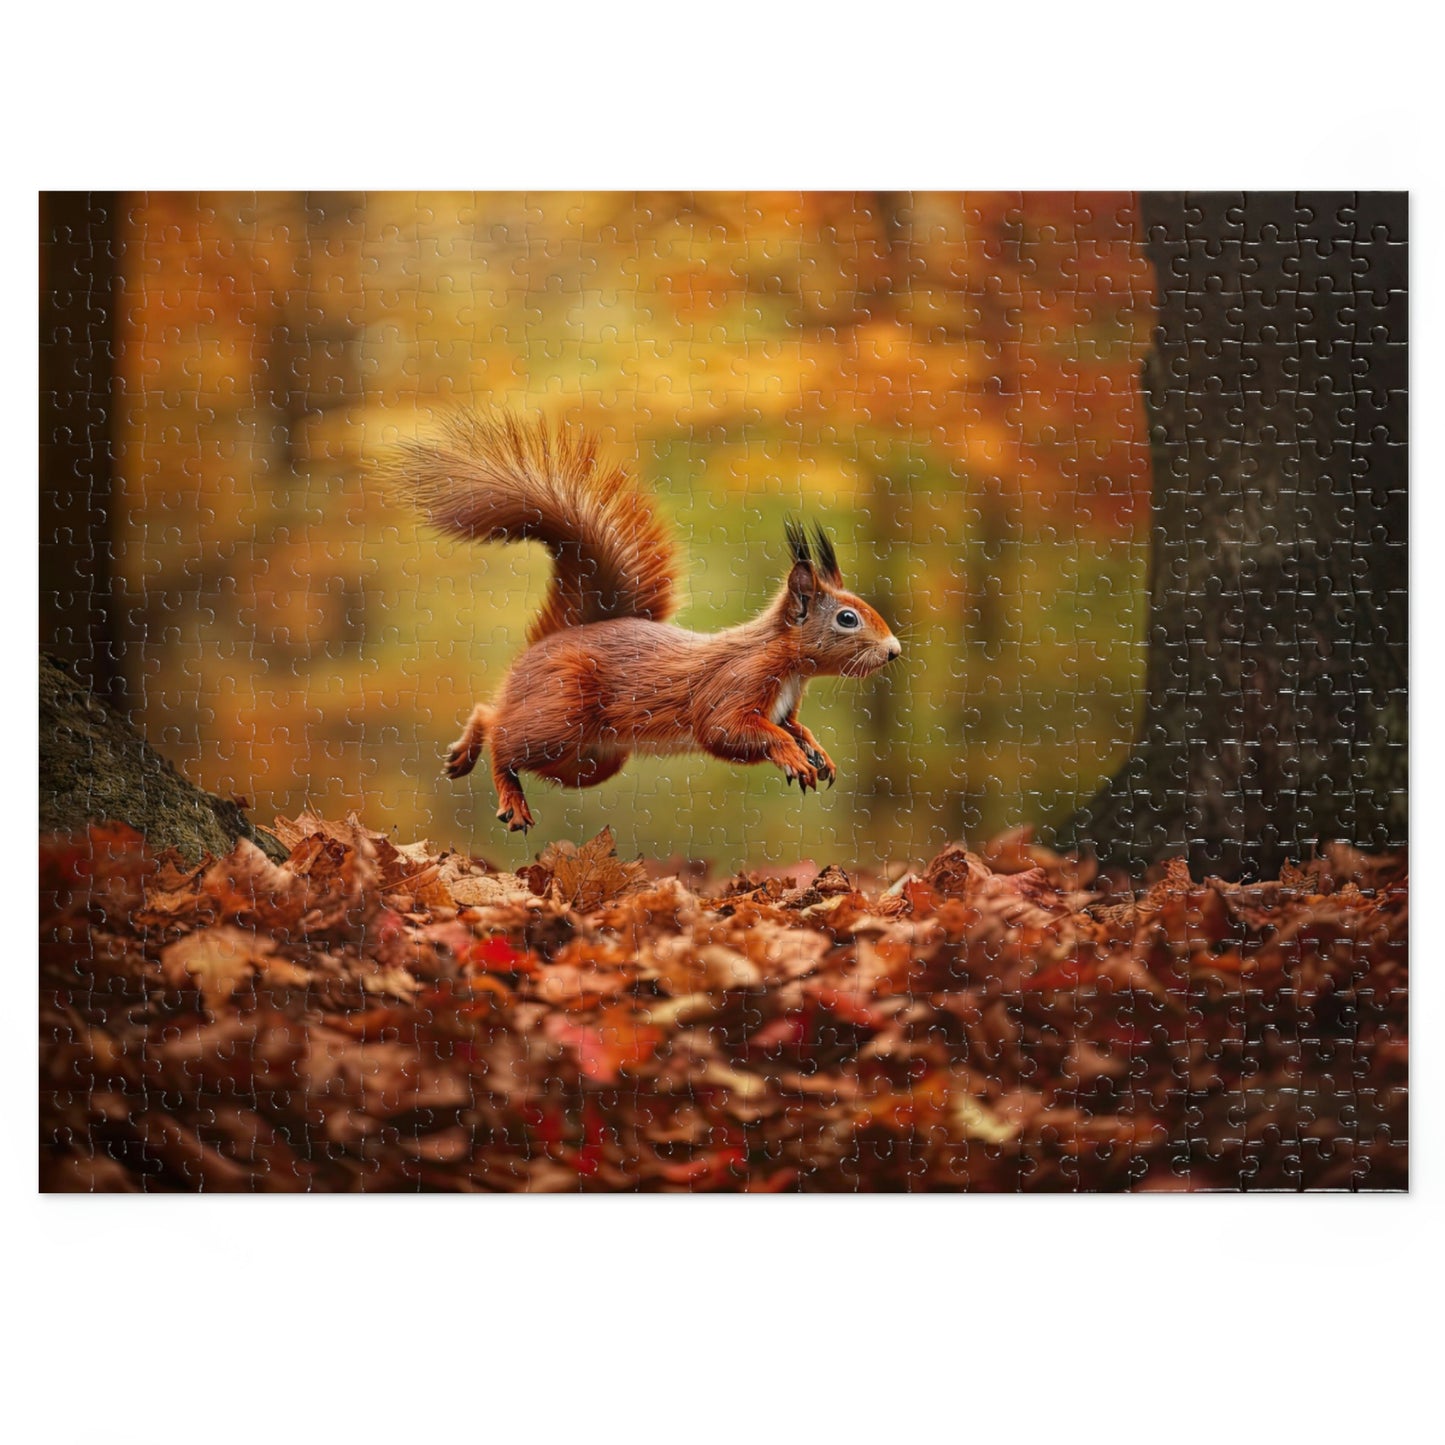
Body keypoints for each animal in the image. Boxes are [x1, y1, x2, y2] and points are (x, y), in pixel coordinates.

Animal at [393, 412, 901, 831]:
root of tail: (553, 639)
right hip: (559, 715)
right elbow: (727, 730)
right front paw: (792, 756)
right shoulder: (734, 684)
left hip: (589, 762)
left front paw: (815, 750)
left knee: (497, 719)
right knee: (502, 736)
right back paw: (503, 790)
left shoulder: (785, 706)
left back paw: (467, 754)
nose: (894, 651)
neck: (789, 664)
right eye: (848, 618)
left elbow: (794, 727)